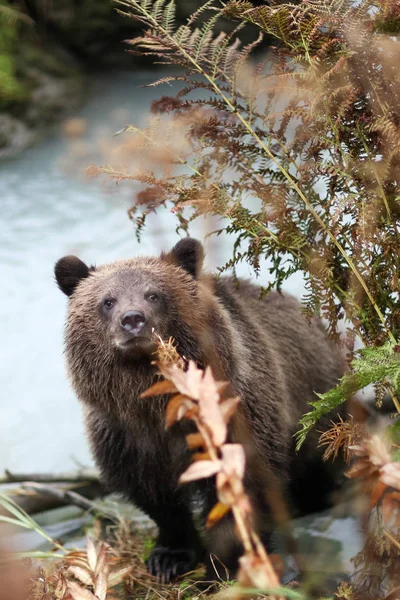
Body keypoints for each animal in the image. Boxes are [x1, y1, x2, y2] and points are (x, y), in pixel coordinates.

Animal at [54, 238, 346, 580]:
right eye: (107, 301)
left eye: (154, 294)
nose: (133, 320)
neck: (156, 403)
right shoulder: (125, 434)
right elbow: (155, 497)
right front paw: (169, 558)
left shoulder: (235, 416)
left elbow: (243, 484)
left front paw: (226, 564)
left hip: (319, 403)